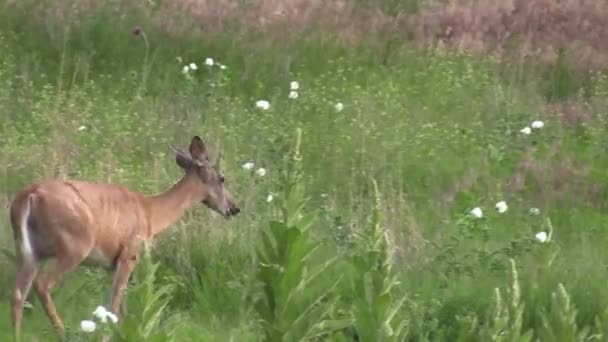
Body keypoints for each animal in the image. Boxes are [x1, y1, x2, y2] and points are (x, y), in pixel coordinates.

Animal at [10, 136, 240, 340]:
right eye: (222, 178)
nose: (234, 208)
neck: (150, 213)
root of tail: (29, 195)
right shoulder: (130, 253)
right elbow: (113, 308)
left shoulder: (112, 264)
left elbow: (120, 310)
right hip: (74, 244)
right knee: (42, 284)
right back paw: (62, 333)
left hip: (27, 251)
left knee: (18, 294)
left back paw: (17, 335)